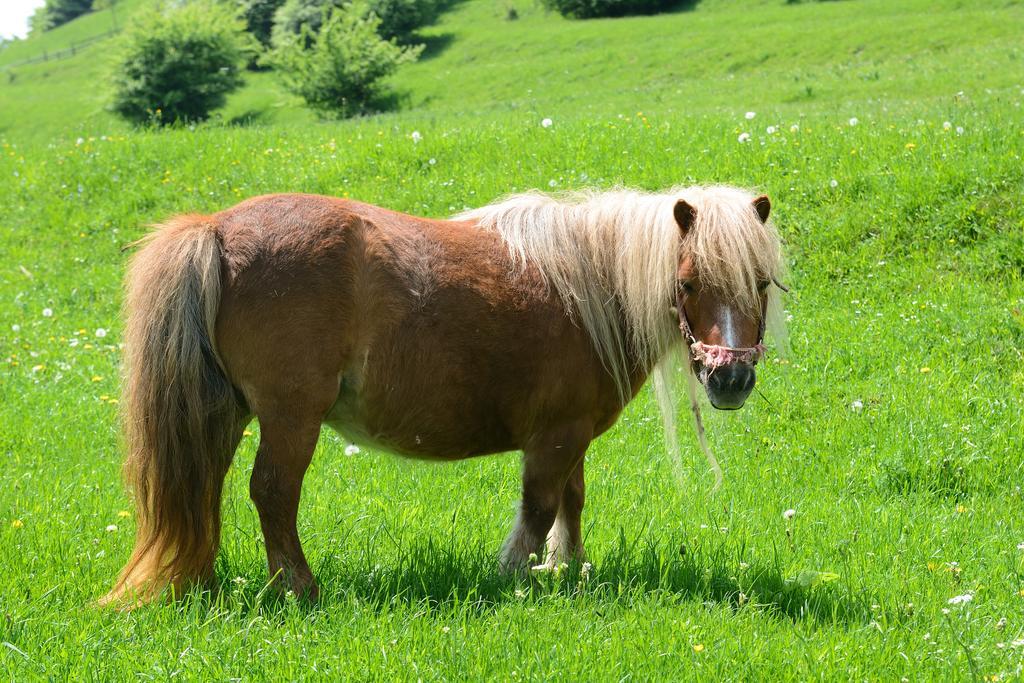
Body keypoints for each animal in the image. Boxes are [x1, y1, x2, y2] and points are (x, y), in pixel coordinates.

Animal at [99, 184, 782, 606]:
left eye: (761, 281)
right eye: (687, 283)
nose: (730, 380)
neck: (592, 285)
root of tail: (214, 228)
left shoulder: (573, 435)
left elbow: (572, 503)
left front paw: (568, 571)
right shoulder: (555, 437)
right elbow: (539, 508)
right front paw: (513, 579)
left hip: (229, 414)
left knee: (207, 490)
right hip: (291, 418)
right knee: (271, 492)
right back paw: (299, 589)